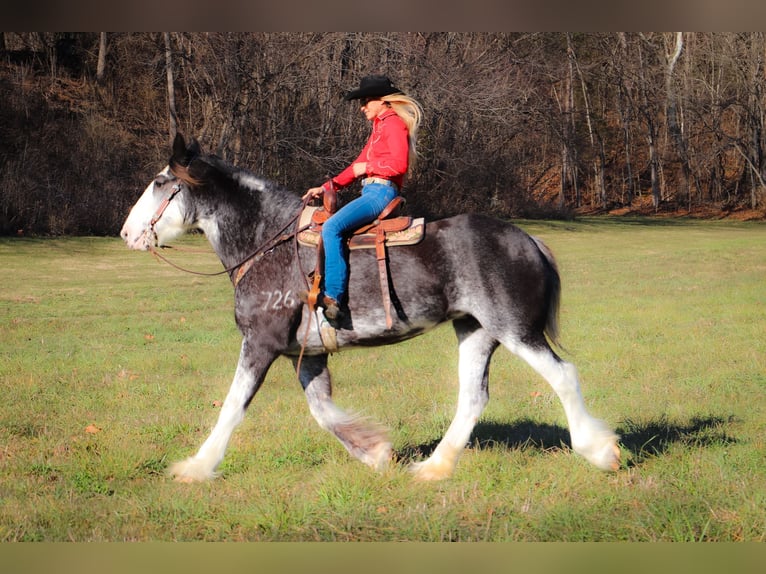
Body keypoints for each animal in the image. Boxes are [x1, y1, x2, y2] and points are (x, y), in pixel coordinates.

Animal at [121, 134, 624, 482]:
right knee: (473, 397)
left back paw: (600, 451)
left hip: (516, 329)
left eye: (159, 183)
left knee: (563, 375)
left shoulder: (260, 344)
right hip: (476, 332)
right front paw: (375, 451)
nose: (126, 233)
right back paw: (434, 468)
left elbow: (232, 407)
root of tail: (529, 240)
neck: (269, 243)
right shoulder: (309, 354)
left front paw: (196, 466)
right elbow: (323, 411)